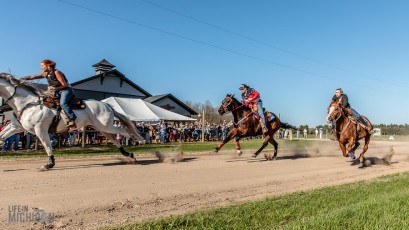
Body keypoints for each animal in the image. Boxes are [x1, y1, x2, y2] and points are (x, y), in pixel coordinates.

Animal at [0, 73, 143, 170]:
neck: (28, 103)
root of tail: (106, 105)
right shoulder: (17, 126)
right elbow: (2, 136)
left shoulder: (40, 130)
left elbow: (47, 146)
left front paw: (49, 164)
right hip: (102, 128)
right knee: (116, 139)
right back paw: (129, 154)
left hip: (106, 127)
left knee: (124, 131)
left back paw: (136, 141)